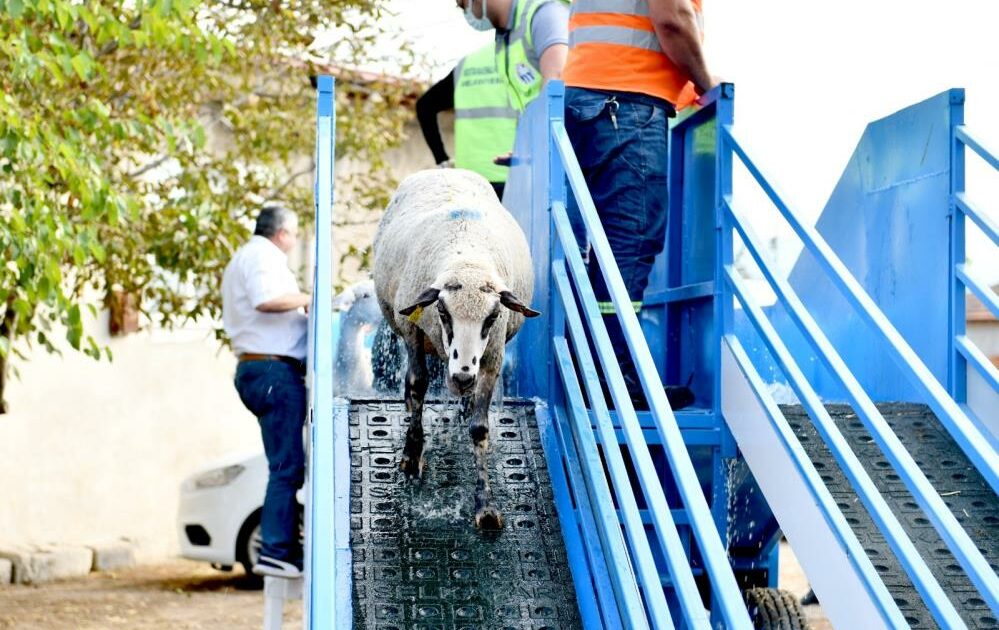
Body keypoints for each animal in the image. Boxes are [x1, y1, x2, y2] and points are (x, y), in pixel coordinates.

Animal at [374, 169, 544, 532]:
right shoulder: (412, 331)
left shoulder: (492, 359)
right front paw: (412, 454)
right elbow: (418, 384)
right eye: (442, 310)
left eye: (492, 316)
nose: (463, 376)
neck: (468, 256)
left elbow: (480, 429)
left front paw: (486, 507)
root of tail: (445, 169)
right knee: (412, 383)